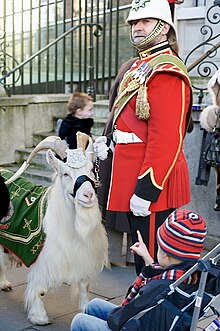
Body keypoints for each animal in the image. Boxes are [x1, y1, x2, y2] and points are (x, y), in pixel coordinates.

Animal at [0, 134, 109, 326]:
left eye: (91, 169)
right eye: (65, 173)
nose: (88, 195)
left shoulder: (83, 257)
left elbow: (84, 285)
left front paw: (86, 309)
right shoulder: (44, 261)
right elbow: (40, 290)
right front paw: (40, 318)